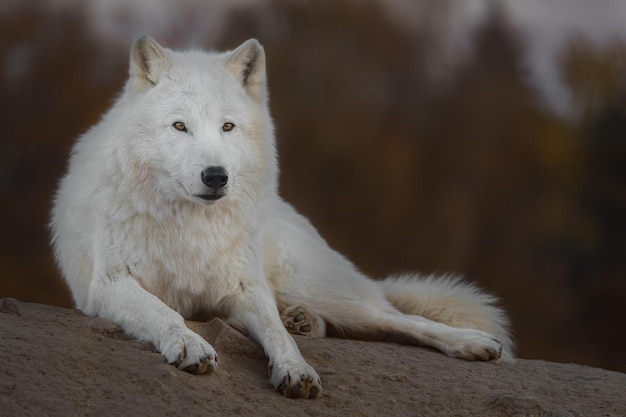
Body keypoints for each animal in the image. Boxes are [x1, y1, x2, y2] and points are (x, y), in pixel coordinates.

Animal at [51, 37, 512, 398]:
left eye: (228, 127)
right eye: (180, 126)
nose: (215, 176)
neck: (192, 226)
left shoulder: (246, 288)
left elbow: (277, 334)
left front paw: (296, 369)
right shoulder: (108, 285)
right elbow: (165, 312)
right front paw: (190, 344)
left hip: (313, 285)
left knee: (395, 318)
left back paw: (472, 343)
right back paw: (305, 320)